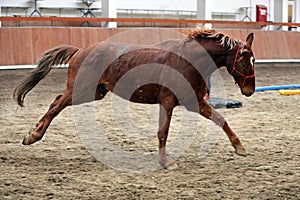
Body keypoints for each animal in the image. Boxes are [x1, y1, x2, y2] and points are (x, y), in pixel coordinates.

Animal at [12, 27, 254, 169]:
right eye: (244, 61)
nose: (250, 90)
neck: (187, 61)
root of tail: (80, 50)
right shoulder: (167, 102)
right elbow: (163, 132)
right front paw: (165, 162)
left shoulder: (195, 101)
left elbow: (221, 120)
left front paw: (240, 147)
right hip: (80, 90)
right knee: (56, 106)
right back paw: (32, 136)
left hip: (94, 92)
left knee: (56, 101)